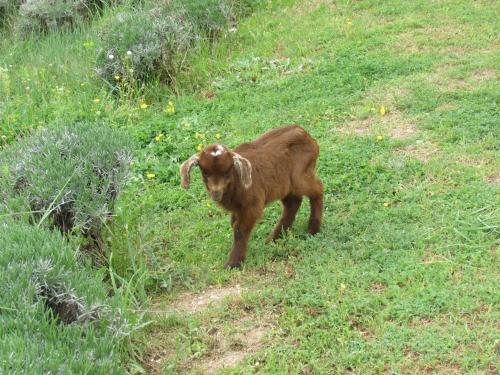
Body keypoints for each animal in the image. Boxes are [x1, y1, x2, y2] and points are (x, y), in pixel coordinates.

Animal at [181, 125, 324, 268]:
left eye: (227, 172)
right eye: (205, 173)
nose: (216, 193)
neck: (236, 181)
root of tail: (306, 134)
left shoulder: (252, 205)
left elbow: (240, 229)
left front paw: (233, 263)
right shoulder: (237, 209)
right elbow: (234, 224)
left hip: (300, 176)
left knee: (318, 189)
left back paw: (312, 229)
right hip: (284, 185)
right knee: (293, 203)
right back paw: (274, 238)